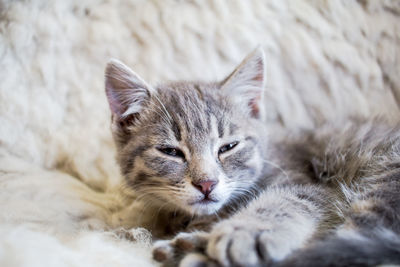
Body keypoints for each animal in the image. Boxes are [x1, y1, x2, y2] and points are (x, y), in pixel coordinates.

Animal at [104, 48, 400, 267]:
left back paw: (196, 249)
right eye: (171, 152)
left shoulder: (307, 181)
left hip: (386, 175)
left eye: (228, 147)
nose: (206, 184)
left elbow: (288, 199)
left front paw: (248, 230)